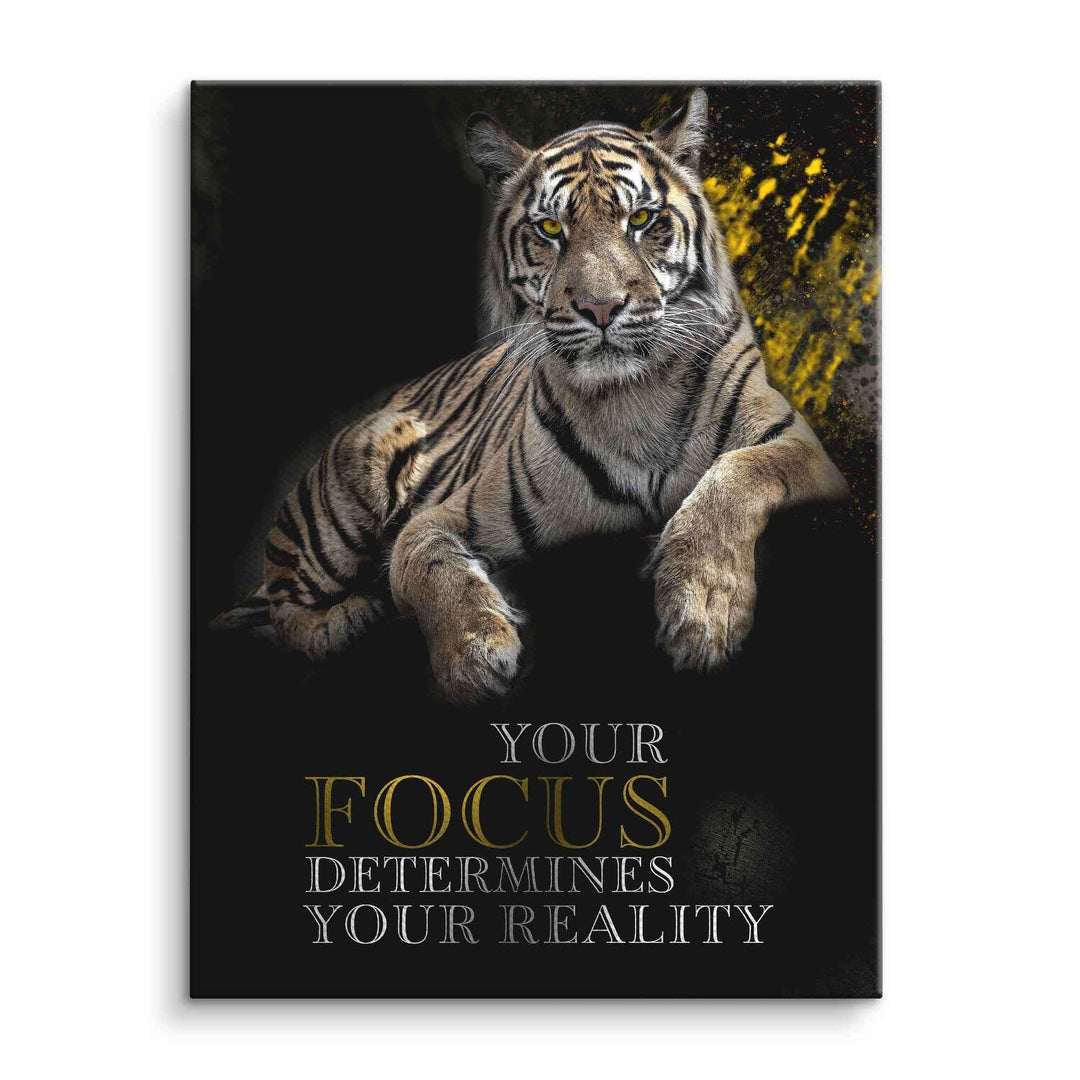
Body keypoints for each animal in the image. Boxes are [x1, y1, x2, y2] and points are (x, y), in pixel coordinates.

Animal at [215, 88, 849, 704]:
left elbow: (738, 474)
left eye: (641, 219)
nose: (600, 307)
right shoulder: (449, 513)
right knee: (286, 608)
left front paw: (702, 608)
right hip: (349, 485)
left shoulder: (804, 452)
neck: (634, 399)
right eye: (550, 229)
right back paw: (344, 622)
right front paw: (472, 655)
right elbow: (422, 562)